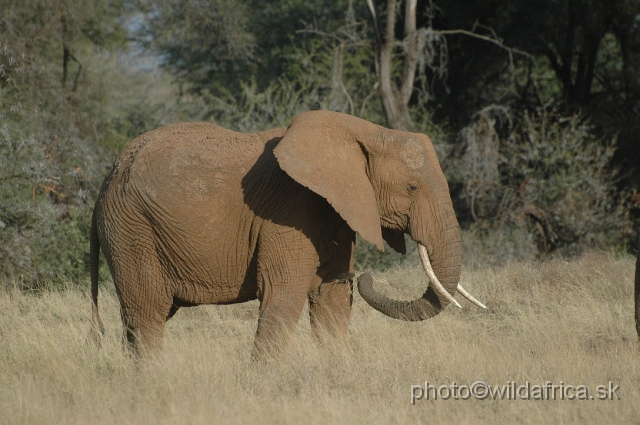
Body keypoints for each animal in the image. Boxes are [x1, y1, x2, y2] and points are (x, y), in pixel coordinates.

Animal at [87, 109, 482, 354]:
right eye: (412, 188)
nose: (365, 276)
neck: (365, 131)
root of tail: (107, 177)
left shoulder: (333, 213)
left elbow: (331, 299)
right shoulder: (287, 211)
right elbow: (283, 294)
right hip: (132, 229)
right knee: (147, 316)